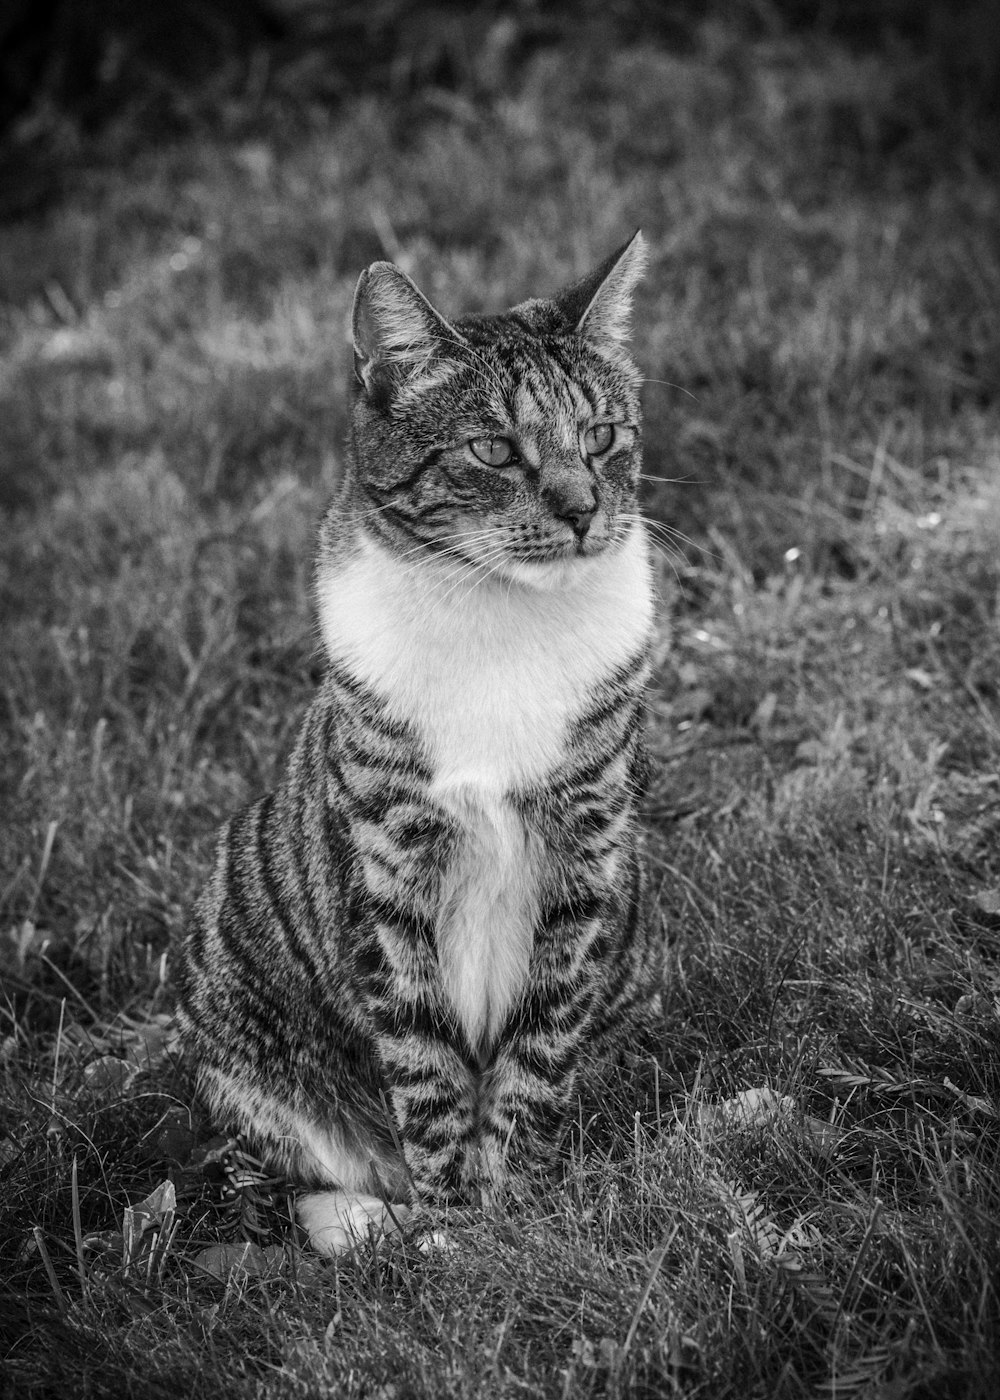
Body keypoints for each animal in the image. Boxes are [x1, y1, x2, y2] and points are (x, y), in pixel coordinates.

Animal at [177, 232, 661, 1260]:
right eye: (493, 449)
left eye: (602, 436)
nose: (581, 509)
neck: (502, 620)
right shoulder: (387, 877)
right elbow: (427, 1070)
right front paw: (452, 1233)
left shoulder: (585, 861)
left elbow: (536, 1047)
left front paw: (515, 1208)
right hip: (231, 1001)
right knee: (282, 1174)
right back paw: (371, 1222)